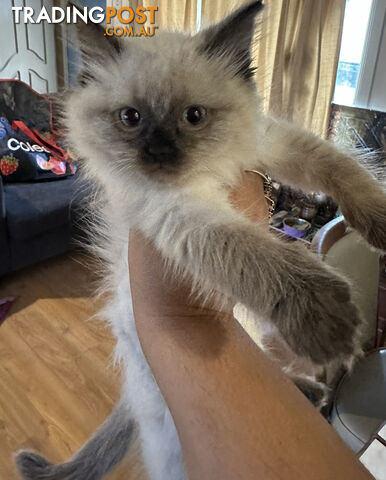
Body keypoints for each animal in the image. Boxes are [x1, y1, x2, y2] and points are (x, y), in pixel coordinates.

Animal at [15, 0, 382, 480]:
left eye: (193, 117)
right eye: (131, 118)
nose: (159, 152)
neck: (210, 172)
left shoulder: (271, 142)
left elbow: (340, 168)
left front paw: (381, 220)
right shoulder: (179, 213)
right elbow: (256, 253)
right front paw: (329, 321)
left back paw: (312, 390)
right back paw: (314, 389)